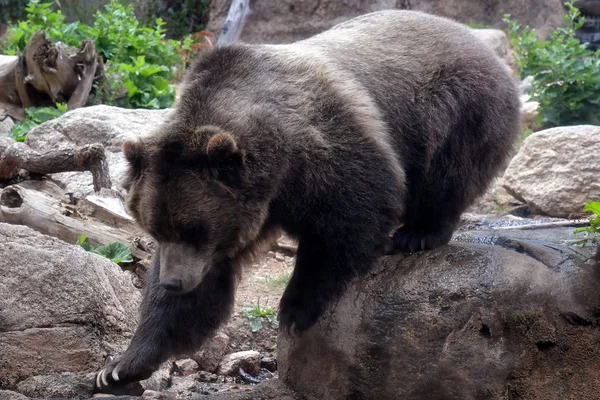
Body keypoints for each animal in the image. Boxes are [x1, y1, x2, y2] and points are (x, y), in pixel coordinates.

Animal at [94, 9, 520, 390]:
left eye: (194, 229)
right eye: (155, 228)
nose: (173, 282)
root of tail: (484, 45)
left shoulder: (324, 146)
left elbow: (354, 211)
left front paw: (295, 307)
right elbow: (194, 298)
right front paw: (119, 367)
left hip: (454, 106)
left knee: (448, 170)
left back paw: (418, 233)